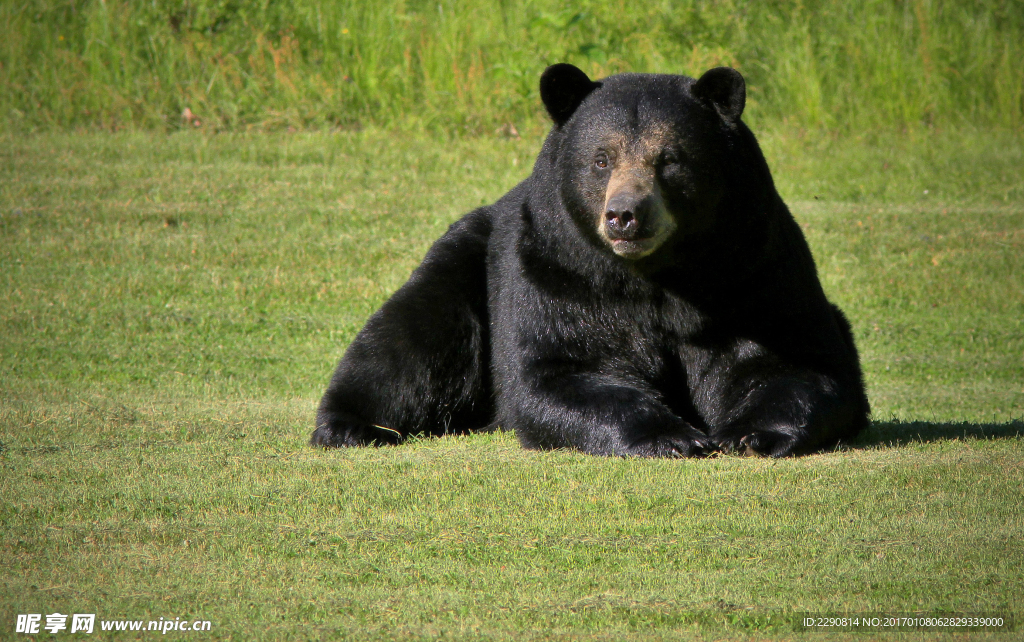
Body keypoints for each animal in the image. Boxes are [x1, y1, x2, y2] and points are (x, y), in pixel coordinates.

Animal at [311, 64, 870, 457]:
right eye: (601, 159)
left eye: (670, 159)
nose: (625, 215)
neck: (660, 278)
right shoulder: (561, 272)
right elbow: (561, 369)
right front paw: (673, 436)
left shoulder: (753, 269)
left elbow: (796, 359)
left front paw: (751, 434)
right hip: (465, 260)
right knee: (411, 335)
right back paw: (349, 425)